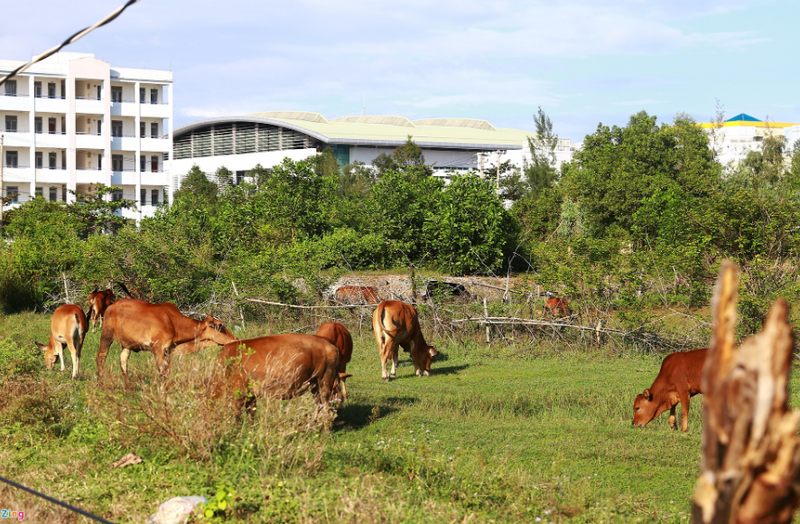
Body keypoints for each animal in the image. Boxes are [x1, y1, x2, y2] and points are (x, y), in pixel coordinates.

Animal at [95, 298, 236, 384]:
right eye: (220, 325)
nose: (234, 339)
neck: (173, 322)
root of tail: (112, 305)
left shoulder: (168, 350)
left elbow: (168, 371)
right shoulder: (157, 348)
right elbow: (162, 371)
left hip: (127, 345)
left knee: (123, 362)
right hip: (107, 335)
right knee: (101, 357)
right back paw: (102, 385)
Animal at [216, 334, 344, 416]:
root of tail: (325, 340)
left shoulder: (238, 394)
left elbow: (237, 417)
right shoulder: (251, 395)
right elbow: (251, 414)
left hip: (325, 382)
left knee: (327, 410)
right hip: (315, 386)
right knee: (321, 407)